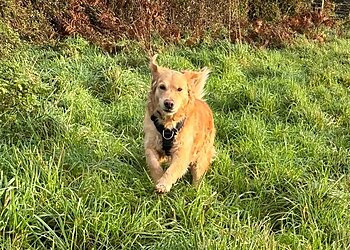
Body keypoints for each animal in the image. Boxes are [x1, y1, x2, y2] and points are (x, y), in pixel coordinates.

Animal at [143, 54, 215, 192]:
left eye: (180, 89)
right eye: (162, 87)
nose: (169, 103)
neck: (168, 125)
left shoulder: (182, 152)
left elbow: (173, 170)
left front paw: (163, 184)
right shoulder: (150, 145)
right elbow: (153, 163)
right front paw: (158, 178)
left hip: (201, 157)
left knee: (198, 175)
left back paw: (194, 191)